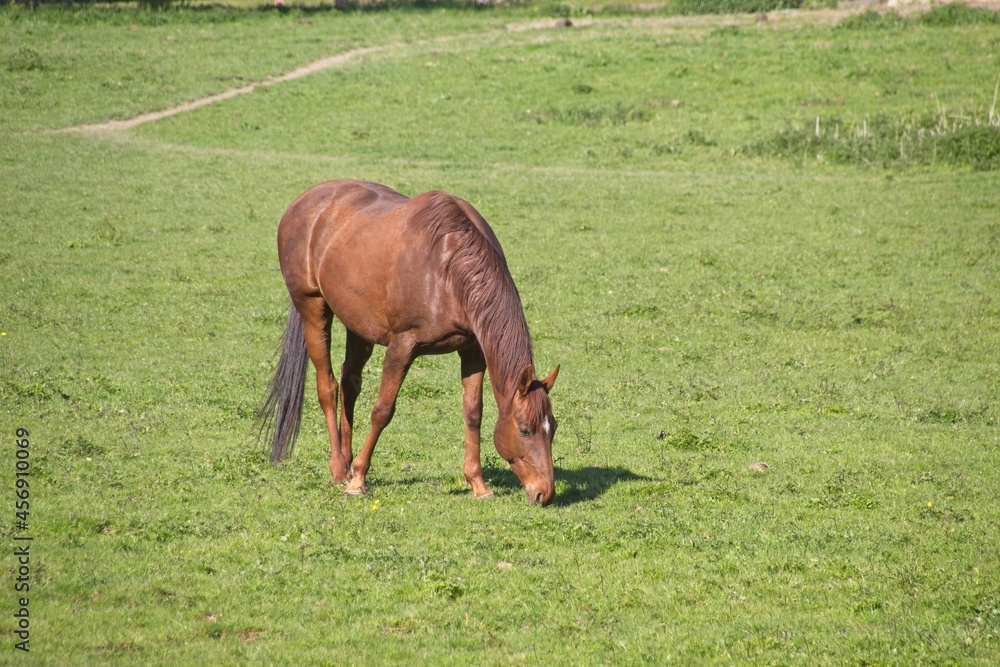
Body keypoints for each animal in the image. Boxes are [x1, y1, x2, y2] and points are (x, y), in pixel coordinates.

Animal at [257, 180, 560, 505]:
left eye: (553, 427)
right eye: (525, 430)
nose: (544, 493)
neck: (447, 269)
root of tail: (305, 200)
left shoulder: (473, 350)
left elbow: (473, 412)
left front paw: (478, 484)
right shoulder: (402, 346)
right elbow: (382, 411)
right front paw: (359, 480)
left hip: (358, 325)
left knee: (350, 385)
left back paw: (347, 461)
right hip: (313, 309)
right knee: (328, 387)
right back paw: (341, 470)